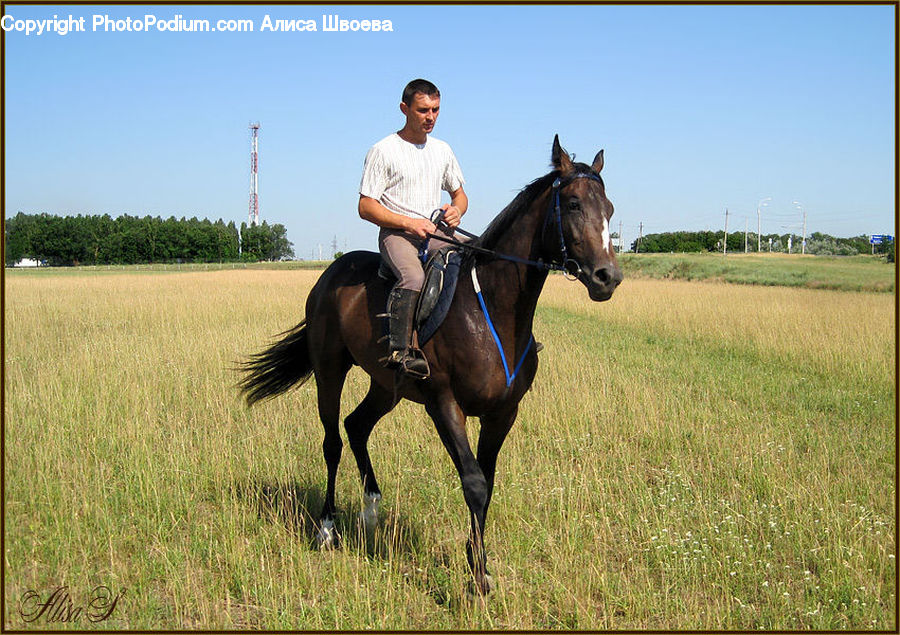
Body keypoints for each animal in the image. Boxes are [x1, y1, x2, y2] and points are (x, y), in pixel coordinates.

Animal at [238, 135, 622, 595]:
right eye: (574, 204)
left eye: (609, 207)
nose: (607, 277)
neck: (491, 309)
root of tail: (331, 272)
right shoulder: (444, 404)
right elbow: (474, 483)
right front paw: (477, 578)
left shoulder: (502, 414)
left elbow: (488, 483)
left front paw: (479, 564)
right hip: (330, 370)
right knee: (332, 441)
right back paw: (327, 528)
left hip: (386, 385)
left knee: (356, 426)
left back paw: (371, 511)